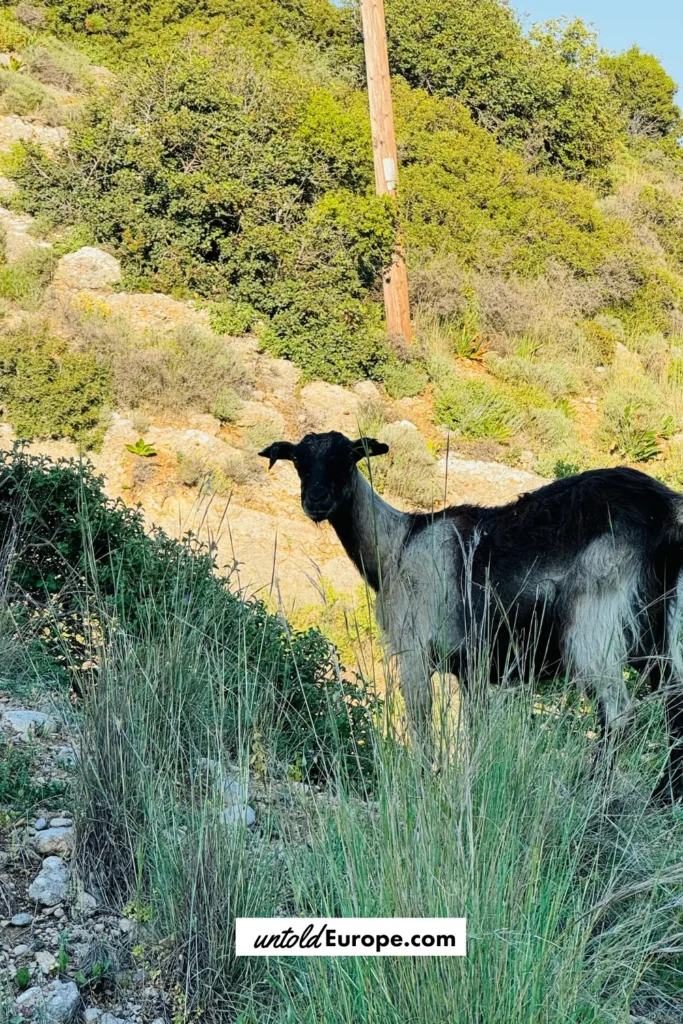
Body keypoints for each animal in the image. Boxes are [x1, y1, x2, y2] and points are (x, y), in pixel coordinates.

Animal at [259, 430, 683, 802]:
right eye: (298, 459)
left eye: (348, 457)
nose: (317, 500)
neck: (398, 546)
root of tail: (666, 513)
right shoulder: (471, 667)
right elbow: (477, 727)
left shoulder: (414, 651)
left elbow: (422, 726)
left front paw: (426, 784)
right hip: (657, 629)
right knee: (673, 706)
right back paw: (661, 799)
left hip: (594, 622)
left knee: (618, 714)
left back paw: (592, 793)